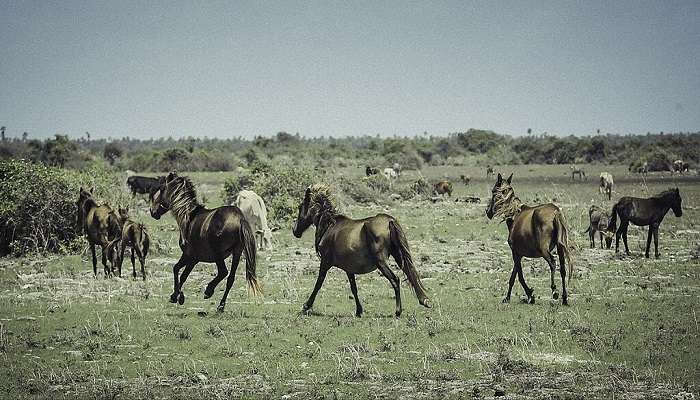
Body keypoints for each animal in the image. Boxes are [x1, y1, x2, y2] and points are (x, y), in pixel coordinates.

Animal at [149, 170, 262, 310]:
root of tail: (239, 218)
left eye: (162, 189)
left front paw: (177, 296)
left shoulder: (190, 256)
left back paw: (208, 291)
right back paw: (220, 306)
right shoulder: (193, 258)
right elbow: (180, 272)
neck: (188, 217)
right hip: (237, 252)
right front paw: (177, 296)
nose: (152, 212)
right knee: (230, 279)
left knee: (223, 272)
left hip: (218, 254)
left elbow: (179, 272)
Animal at [292, 185, 432, 318]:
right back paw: (425, 300)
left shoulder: (325, 262)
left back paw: (398, 311)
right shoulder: (349, 268)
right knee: (410, 272)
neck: (329, 226)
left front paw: (306, 306)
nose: (295, 231)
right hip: (398, 255)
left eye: (300, 207)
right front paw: (359, 311)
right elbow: (354, 288)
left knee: (395, 280)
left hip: (381, 262)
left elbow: (318, 283)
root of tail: (389, 221)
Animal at [486, 173, 576, 304]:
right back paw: (564, 298)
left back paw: (554, 291)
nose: (488, 212)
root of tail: (555, 212)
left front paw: (530, 295)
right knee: (563, 269)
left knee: (553, 263)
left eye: (493, 192)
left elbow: (519, 276)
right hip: (560, 247)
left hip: (544, 249)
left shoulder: (515, 252)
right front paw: (507, 298)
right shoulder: (519, 254)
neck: (515, 215)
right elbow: (513, 277)